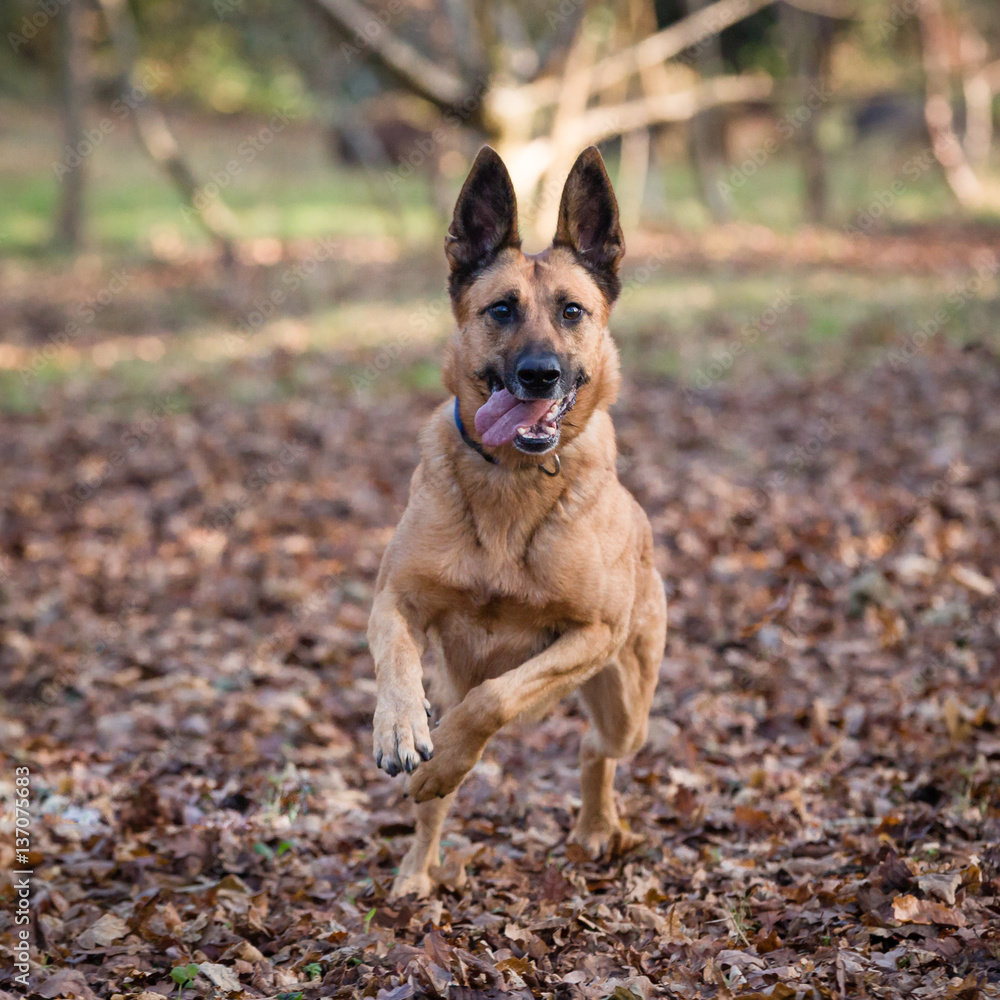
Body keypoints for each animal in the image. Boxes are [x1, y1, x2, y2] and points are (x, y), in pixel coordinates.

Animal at [366, 146, 664, 900]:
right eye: (500, 309)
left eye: (572, 311)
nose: (540, 374)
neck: (511, 480)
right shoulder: (395, 600)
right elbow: (399, 663)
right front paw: (400, 728)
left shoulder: (592, 633)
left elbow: (493, 701)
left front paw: (448, 750)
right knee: (436, 805)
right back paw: (417, 871)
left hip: (628, 704)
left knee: (595, 745)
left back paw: (594, 826)